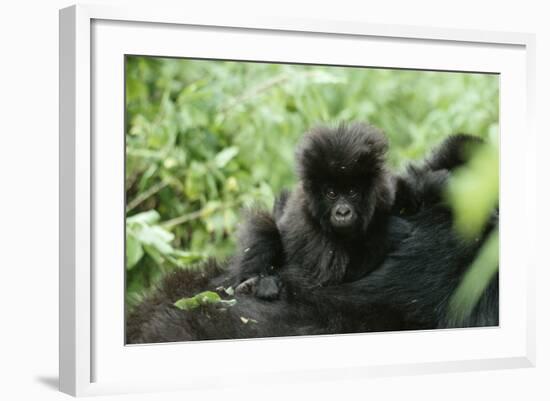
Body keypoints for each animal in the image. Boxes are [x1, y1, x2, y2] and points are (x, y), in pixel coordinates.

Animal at [229, 123, 406, 298]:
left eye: (352, 192)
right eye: (331, 193)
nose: (343, 212)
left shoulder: (384, 195)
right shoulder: (309, 229)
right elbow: (327, 278)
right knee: (263, 225)